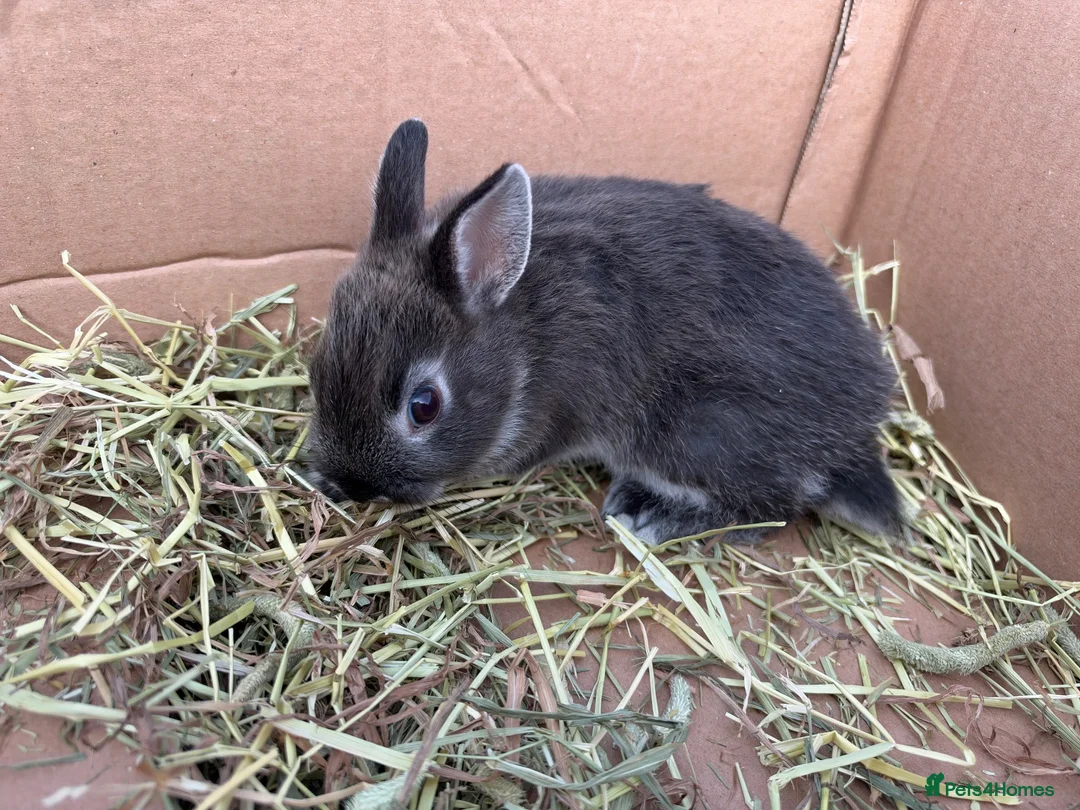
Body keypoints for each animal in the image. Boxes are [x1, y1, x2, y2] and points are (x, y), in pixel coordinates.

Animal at [305, 118, 903, 545]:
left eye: (424, 406)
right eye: (314, 370)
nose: (350, 485)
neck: (520, 341)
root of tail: (858, 434)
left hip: (697, 436)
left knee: (772, 511)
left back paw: (653, 516)